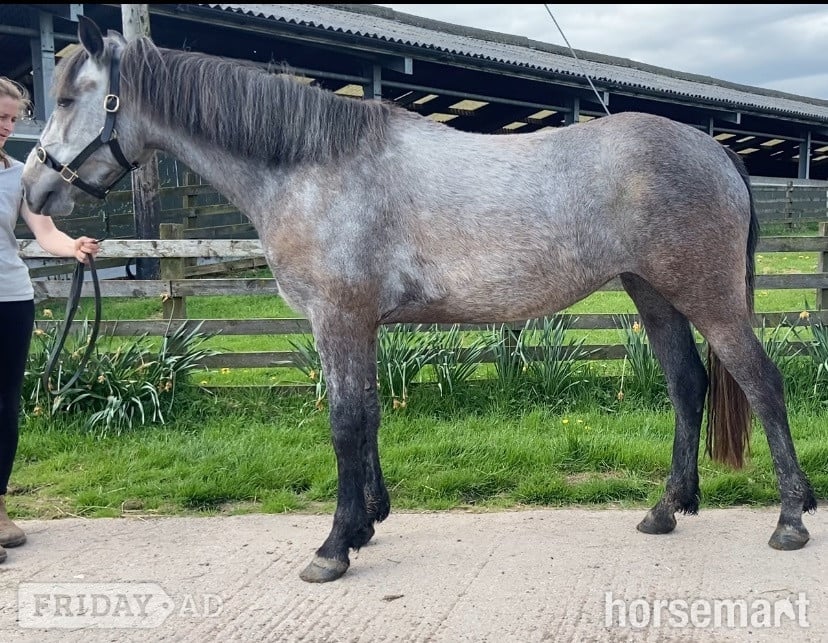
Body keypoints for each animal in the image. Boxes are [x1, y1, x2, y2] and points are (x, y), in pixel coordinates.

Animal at [21, 16, 816, 583]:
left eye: (67, 98)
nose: (33, 190)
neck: (313, 165)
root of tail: (717, 151)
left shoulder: (338, 318)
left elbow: (345, 423)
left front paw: (333, 547)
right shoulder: (361, 325)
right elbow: (369, 416)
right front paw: (367, 521)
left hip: (707, 296)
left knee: (761, 382)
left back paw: (790, 518)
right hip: (652, 293)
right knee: (687, 383)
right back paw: (666, 508)